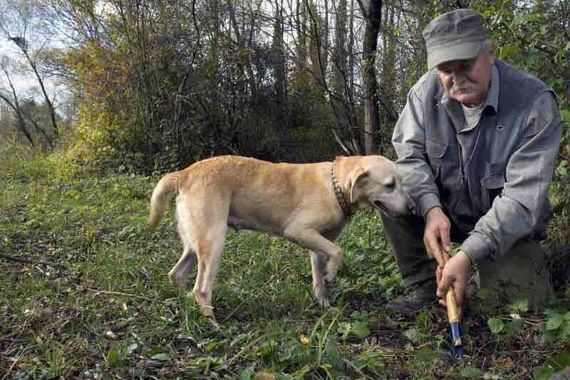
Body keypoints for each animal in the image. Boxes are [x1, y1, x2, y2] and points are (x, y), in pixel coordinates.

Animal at [149, 155, 410, 320]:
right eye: (389, 185)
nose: (411, 208)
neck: (334, 187)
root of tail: (185, 173)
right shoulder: (298, 231)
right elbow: (338, 252)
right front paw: (331, 274)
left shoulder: (317, 244)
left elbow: (319, 278)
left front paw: (324, 304)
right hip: (214, 243)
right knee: (201, 289)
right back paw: (212, 322)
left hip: (196, 246)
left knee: (176, 274)